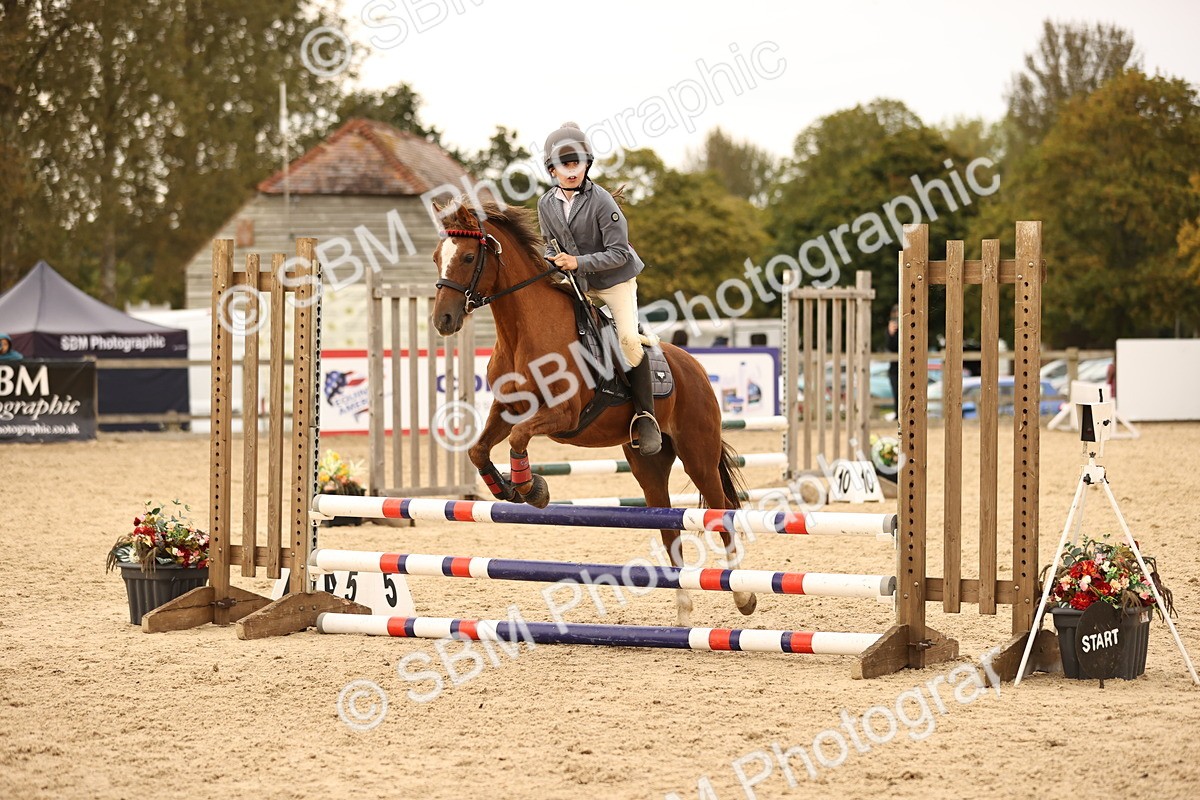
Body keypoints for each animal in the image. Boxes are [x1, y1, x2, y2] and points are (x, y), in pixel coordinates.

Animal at [429, 200, 756, 626]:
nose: (443, 321)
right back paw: (685, 615)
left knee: (722, 511)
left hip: (697, 452)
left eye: (468, 257)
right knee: (669, 526)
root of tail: (695, 367)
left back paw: (743, 594)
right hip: (647, 463)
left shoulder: (562, 415)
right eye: (437, 257)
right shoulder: (506, 409)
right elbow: (478, 449)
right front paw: (505, 488)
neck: (524, 331)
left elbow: (519, 438)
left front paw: (531, 489)